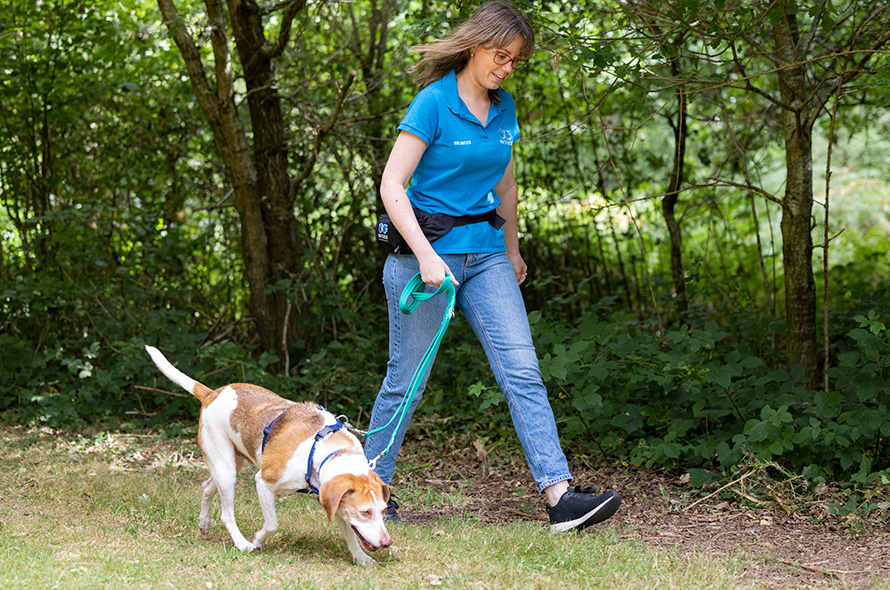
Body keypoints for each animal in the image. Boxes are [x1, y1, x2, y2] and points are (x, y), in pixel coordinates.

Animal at [144, 346, 390, 568]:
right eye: (365, 512)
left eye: (384, 510)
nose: (387, 543)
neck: (325, 450)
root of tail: (212, 393)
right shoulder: (263, 482)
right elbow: (272, 524)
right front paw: (257, 540)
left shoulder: (333, 499)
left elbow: (350, 534)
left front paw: (360, 557)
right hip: (226, 469)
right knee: (226, 514)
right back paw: (242, 544)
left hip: (231, 463)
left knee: (206, 487)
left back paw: (204, 522)